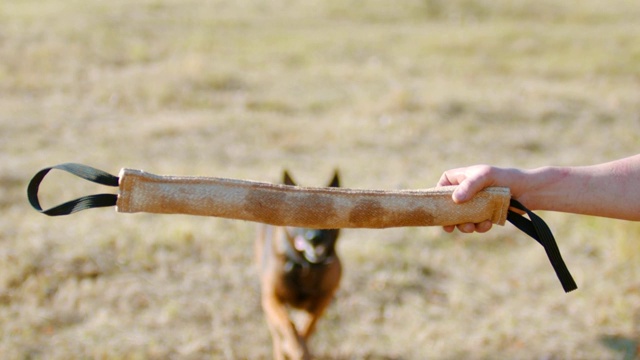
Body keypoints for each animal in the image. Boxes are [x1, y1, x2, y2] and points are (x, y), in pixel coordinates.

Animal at [256, 170, 342, 358]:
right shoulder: (271, 298)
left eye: (328, 215)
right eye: (300, 216)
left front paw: (301, 347)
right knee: (277, 332)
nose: (315, 238)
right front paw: (293, 348)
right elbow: (287, 325)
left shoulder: (324, 297)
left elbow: (308, 324)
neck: (305, 266)